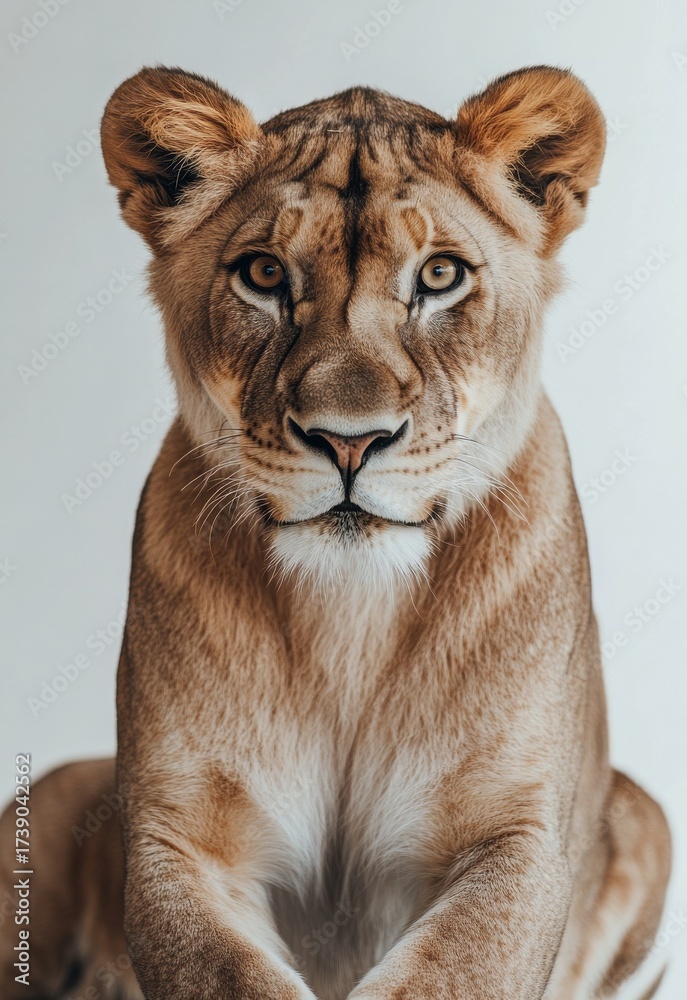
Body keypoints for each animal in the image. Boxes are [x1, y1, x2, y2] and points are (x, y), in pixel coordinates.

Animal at [0, 66, 671, 999]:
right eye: (262, 273)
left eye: (438, 274)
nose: (348, 440)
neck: (350, 615)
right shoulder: (175, 840)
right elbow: (227, 972)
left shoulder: (519, 836)